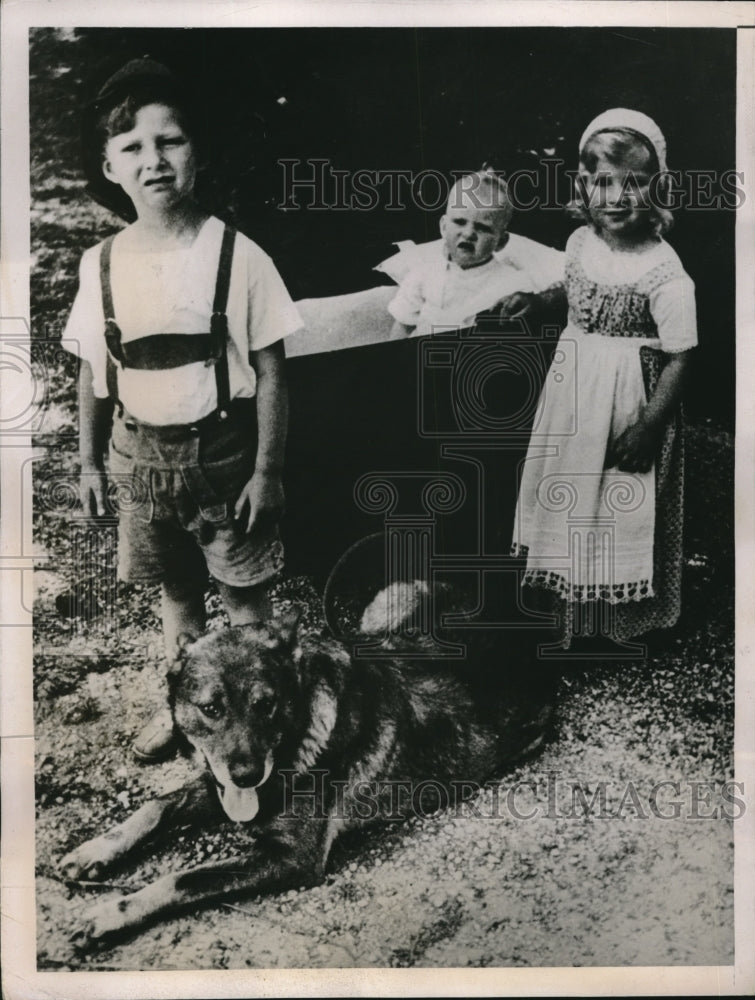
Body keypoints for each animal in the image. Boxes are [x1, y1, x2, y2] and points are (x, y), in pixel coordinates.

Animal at [60, 580, 556, 944]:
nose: (247, 776)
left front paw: (111, 912)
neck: (298, 736)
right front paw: (95, 850)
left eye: (266, 705)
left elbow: (182, 879)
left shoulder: (291, 858)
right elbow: (155, 806)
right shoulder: (219, 782)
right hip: (390, 602)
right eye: (211, 708)